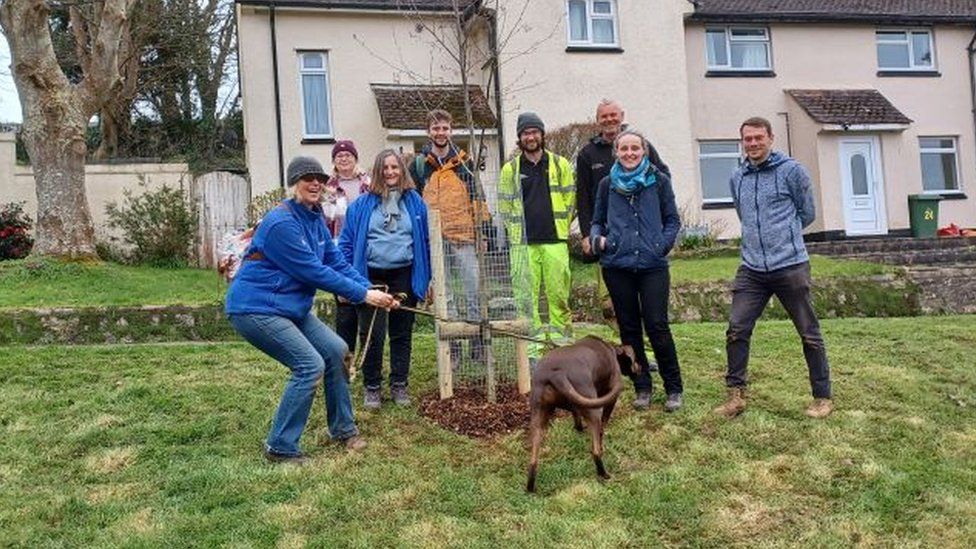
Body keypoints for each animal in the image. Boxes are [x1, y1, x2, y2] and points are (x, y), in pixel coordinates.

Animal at [528, 334, 640, 492]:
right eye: (635, 358)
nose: (641, 367)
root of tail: (557, 374)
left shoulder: (576, 405)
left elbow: (576, 416)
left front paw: (579, 429)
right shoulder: (610, 400)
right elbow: (603, 426)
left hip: (538, 417)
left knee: (533, 459)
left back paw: (530, 486)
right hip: (593, 411)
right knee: (595, 451)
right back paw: (604, 474)